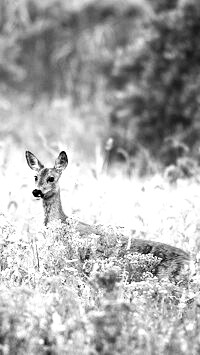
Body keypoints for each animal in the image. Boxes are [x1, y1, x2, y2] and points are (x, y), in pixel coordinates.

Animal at [25, 150, 190, 278]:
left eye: (51, 178)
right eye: (35, 177)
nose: (36, 191)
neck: (61, 222)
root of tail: (190, 259)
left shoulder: (73, 260)